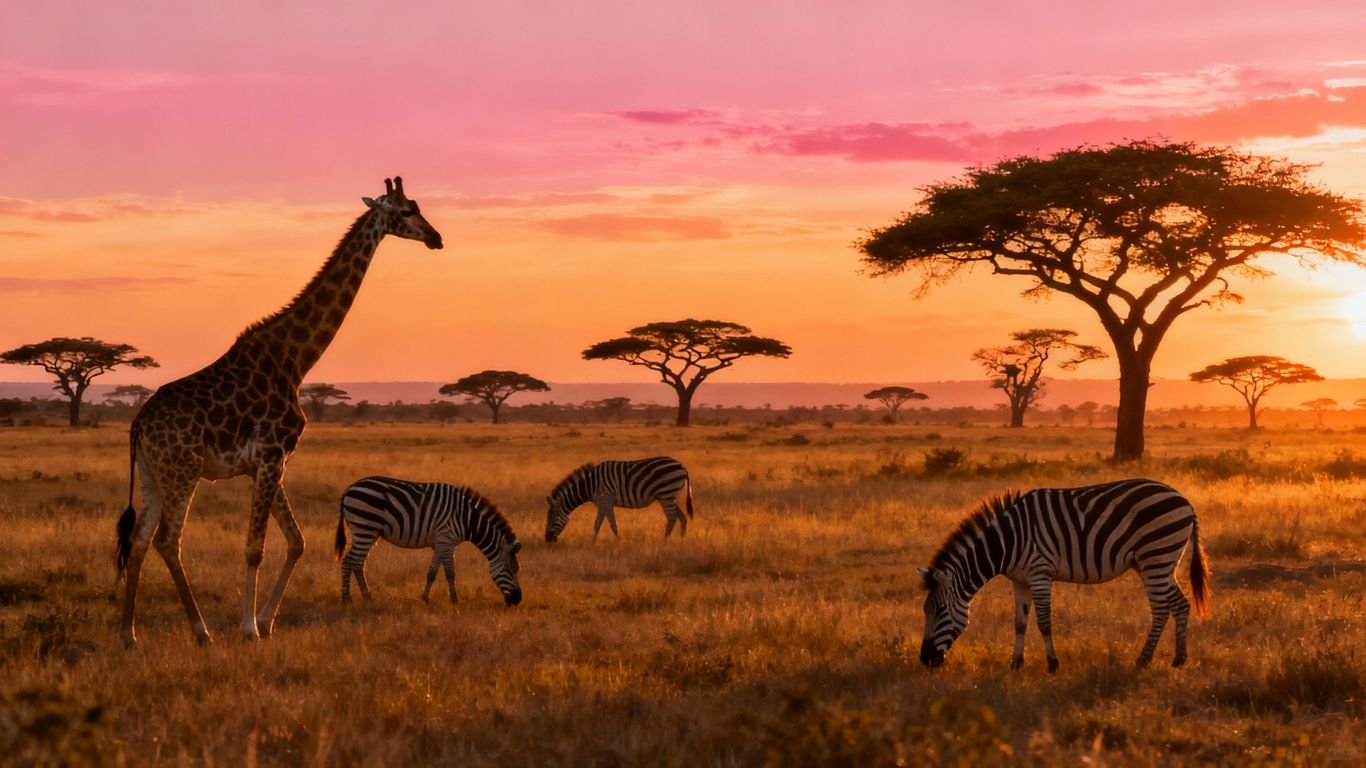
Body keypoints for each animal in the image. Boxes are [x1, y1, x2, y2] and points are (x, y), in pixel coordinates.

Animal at [335, 476, 523, 606]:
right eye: (510, 570)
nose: (518, 600)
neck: (467, 520)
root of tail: (349, 489)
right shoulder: (446, 540)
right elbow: (450, 573)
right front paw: (454, 600)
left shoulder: (440, 544)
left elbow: (432, 572)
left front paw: (425, 598)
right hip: (364, 529)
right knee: (348, 561)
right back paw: (347, 599)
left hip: (368, 532)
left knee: (358, 563)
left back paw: (367, 597)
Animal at [544, 456, 694, 542]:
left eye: (552, 518)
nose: (547, 540)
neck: (590, 485)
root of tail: (682, 466)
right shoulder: (605, 503)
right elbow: (603, 524)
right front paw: (596, 542)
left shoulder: (605, 500)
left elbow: (605, 524)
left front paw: (612, 542)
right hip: (669, 496)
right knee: (682, 517)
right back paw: (682, 540)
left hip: (667, 495)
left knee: (672, 518)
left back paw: (665, 540)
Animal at [918, 478, 1210, 672]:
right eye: (925, 611)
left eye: (940, 611)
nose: (925, 660)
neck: (1008, 542)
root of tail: (1186, 501)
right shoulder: (1019, 580)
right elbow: (1019, 622)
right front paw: (1015, 663)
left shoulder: (1039, 573)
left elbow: (1044, 621)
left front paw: (1052, 664)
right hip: (1158, 562)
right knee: (1180, 604)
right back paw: (1179, 659)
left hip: (1156, 557)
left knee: (1161, 609)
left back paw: (1144, 660)